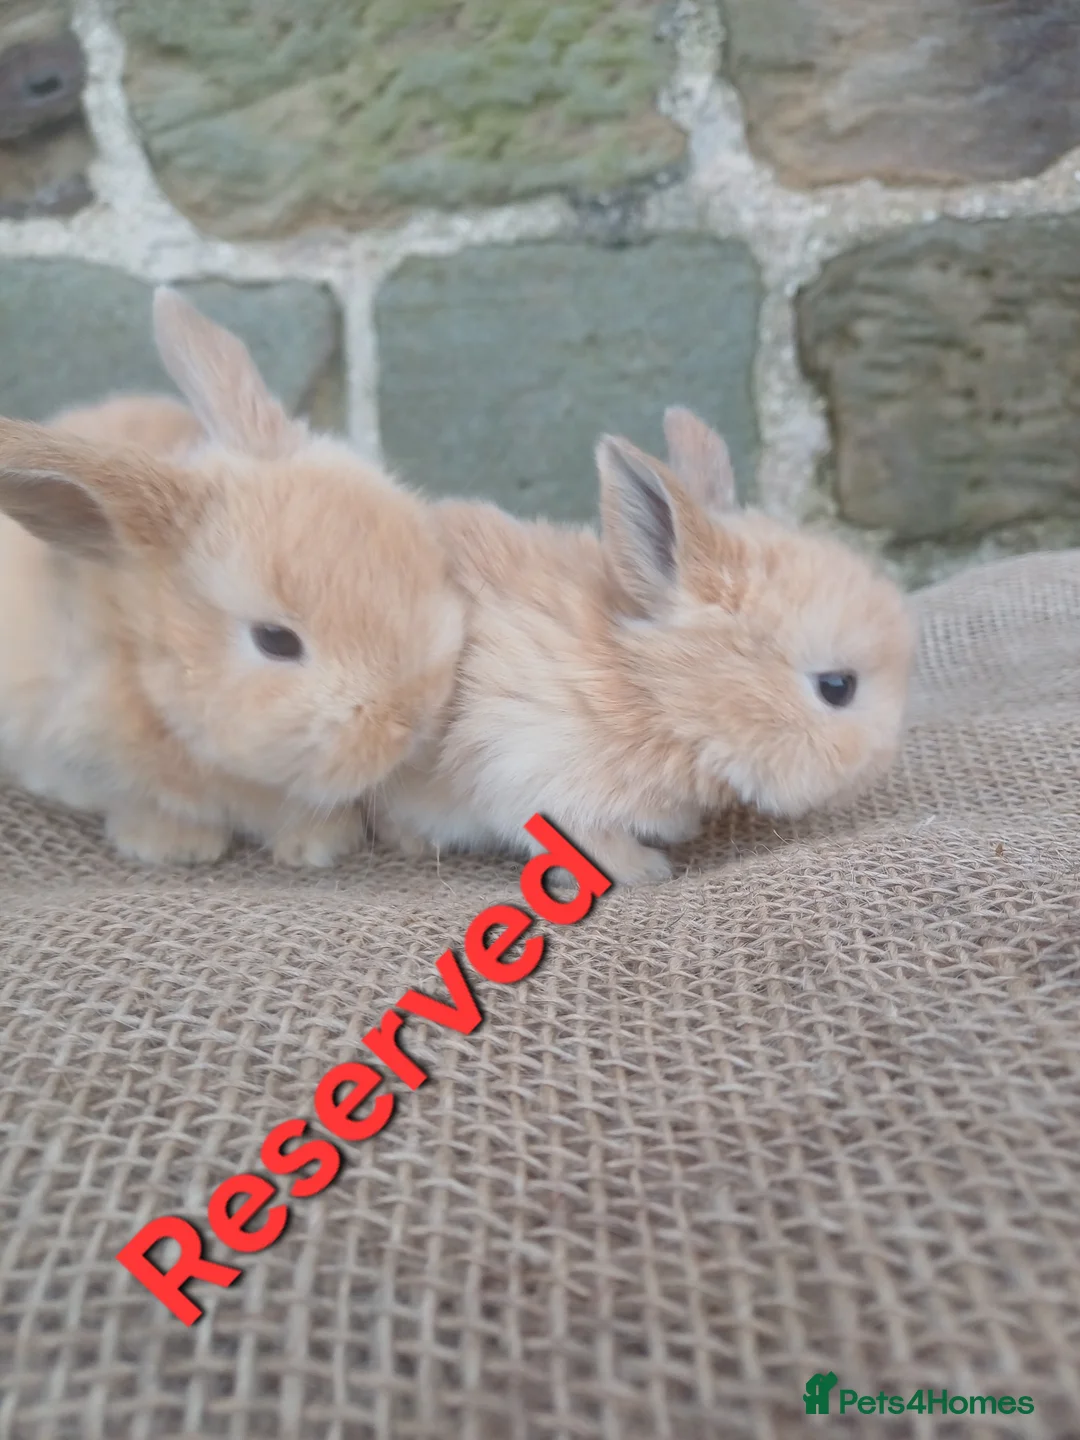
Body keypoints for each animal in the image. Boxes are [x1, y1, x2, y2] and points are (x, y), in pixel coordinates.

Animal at [369, 407, 915, 885]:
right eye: (837, 687)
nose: (880, 765)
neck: (652, 692)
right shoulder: (531, 770)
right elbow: (587, 841)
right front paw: (646, 871)